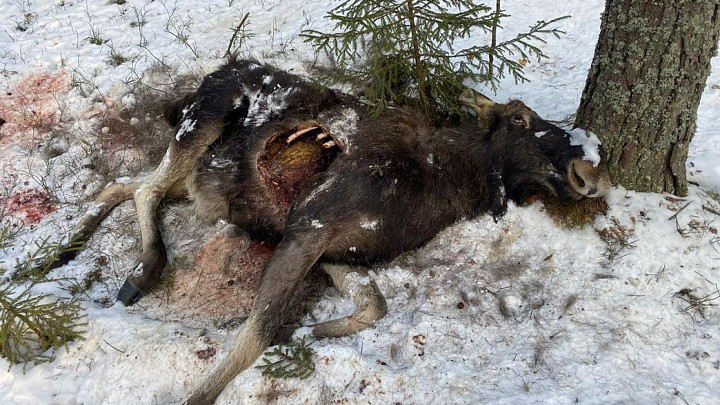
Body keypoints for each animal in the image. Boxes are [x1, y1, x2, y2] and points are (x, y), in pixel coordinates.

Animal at [54, 57, 608, 404]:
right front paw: (200, 395)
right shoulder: (310, 226)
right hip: (203, 124)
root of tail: (201, 82)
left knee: (121, 184)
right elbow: (255, 335)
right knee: (144, 190)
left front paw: (309, 330)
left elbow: (374, 306)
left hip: (196, 177)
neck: (441, 186)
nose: (590, 169)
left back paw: (62, 250)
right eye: (518, 119)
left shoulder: (341, 251)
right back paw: (138, 272)